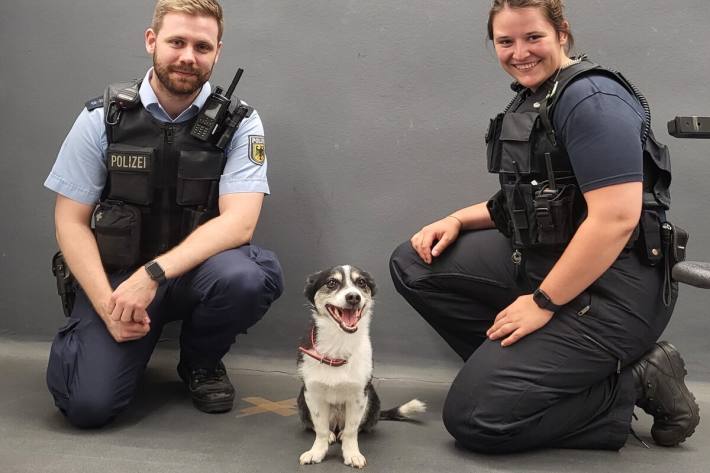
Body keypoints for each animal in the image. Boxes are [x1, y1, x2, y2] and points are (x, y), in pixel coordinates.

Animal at [298, 264, 426, 466]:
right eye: (331, 283)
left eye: (361, 283)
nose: (353, 297)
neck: (339, 342)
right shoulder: (312, 393)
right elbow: (320, 428)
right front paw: (317, 451)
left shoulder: (359, 395)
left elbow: (352, 429)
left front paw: (351, 453)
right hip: (301, 401)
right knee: (323, 427)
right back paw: (331, 435)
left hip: (372, 398)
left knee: (354, 427)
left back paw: (341, 433)